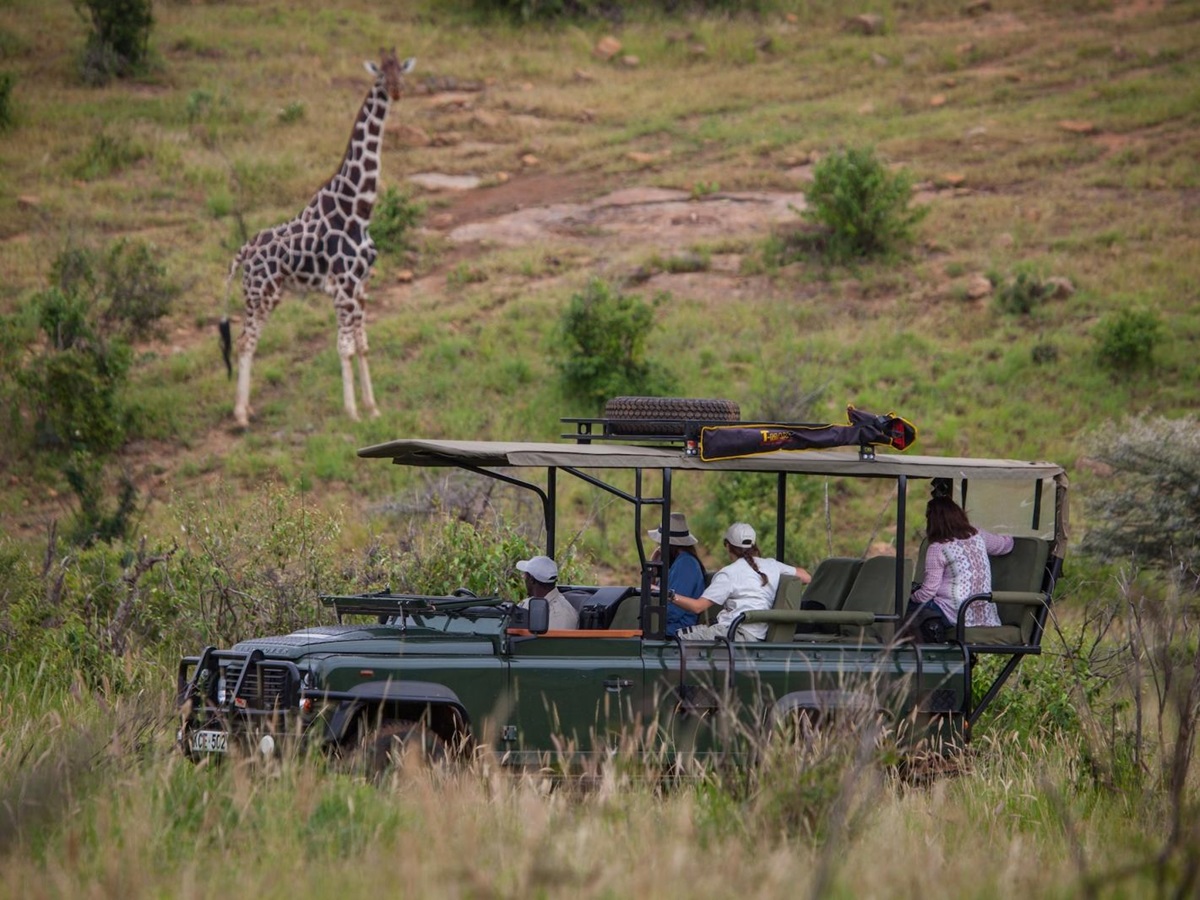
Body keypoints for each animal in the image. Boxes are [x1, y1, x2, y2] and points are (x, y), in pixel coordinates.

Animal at [220, 50, 416, 428]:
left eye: (401, 71)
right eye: (381, 76)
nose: (398, 92)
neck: (358, 208)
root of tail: (243, 252)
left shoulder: (361, 287)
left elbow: (362, 344)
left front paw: (373, 408)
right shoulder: (343, 289)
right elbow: (345, 347)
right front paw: (353, 413)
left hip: (268, 295)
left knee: (249, 340)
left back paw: (247, 409)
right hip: (260, 294)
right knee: (245, 341)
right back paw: (240, 416)